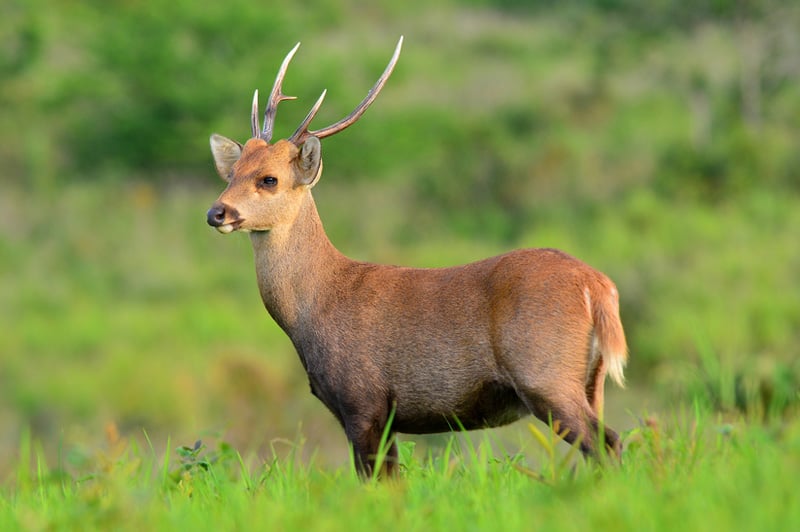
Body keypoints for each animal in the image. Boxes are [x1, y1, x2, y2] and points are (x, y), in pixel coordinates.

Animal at [203, 38, 628, 478]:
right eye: (231, 173)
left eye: (269, 179)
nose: (216, 213)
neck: (316, 308)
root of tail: (597, 286)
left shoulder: (363, 399)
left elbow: (376, 480)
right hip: (590, 381)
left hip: (545, 372)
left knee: (606, 442)